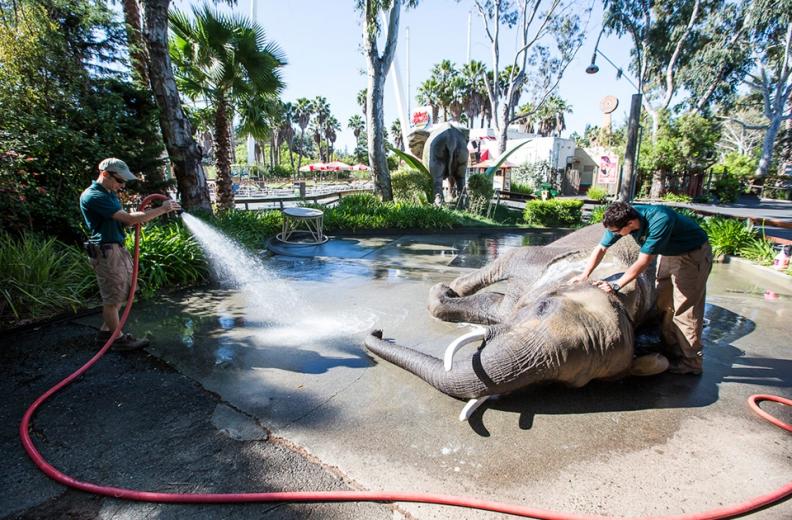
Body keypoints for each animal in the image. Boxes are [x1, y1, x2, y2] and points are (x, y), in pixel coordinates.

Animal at [363, 224, 669, 421]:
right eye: (543, 307)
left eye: (571, 382)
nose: (377, 331)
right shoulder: (541, 260)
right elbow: (507, 263)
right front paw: (447, 289)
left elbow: (495, 304)